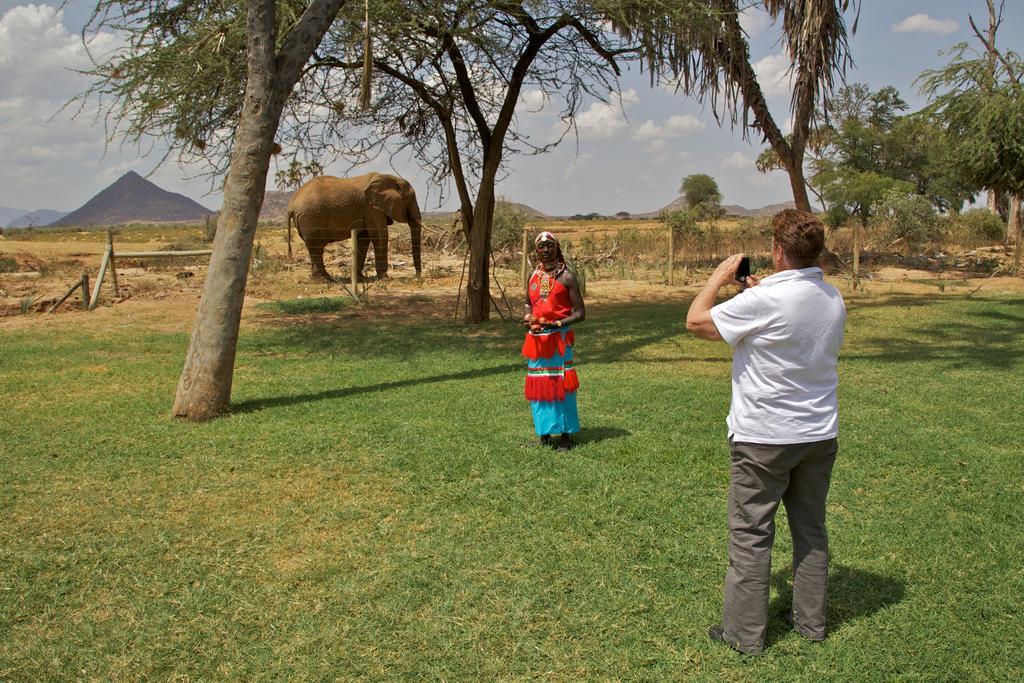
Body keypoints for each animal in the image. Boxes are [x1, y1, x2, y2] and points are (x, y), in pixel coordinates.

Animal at [286, 172, 421, 282]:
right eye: (411, 199)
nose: (417, 276)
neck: (392, 179)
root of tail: (291, 204)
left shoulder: (368, 210)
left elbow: (364, 239)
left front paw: (361, 279)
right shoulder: (372, 208)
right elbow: (379, 235)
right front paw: (385, 279)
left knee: (316, 248)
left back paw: (328, 279)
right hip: (311, 217)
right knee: (316, 246)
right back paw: (323, 281)